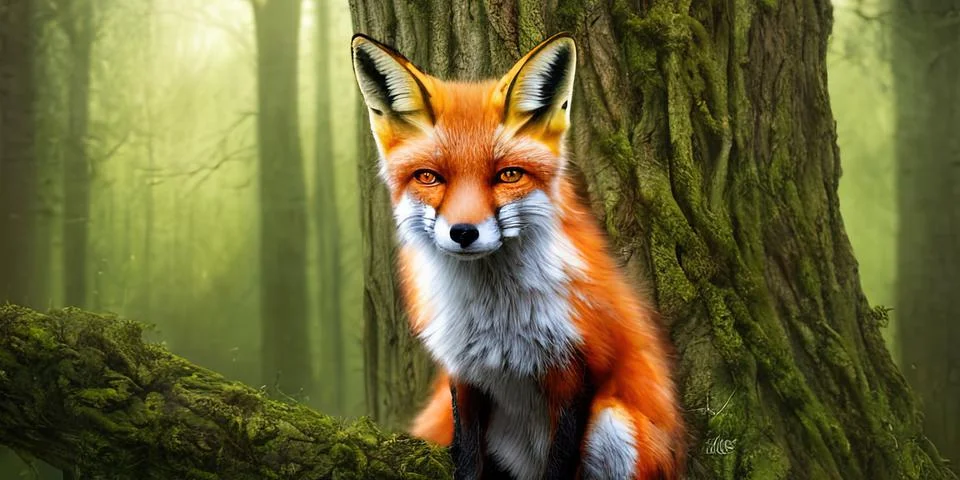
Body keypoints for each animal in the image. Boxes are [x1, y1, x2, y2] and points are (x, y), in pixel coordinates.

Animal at [350, 32, 686, 480]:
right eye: (429, 177)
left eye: (508, 175)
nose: (464, 233)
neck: (497, 321)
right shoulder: (464, 372)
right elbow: (467, 455)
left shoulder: (578, 370)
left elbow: (559, 463)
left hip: (616, 425)